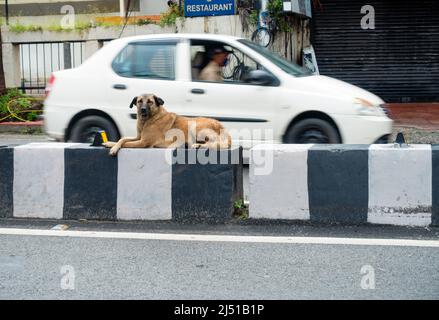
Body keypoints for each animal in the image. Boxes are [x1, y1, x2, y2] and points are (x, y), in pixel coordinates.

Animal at [103, 94, 234, 156]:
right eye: (140, 101)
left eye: (150, 102)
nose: (143, 110)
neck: (149, 120)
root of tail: (222, 126)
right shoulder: (138, 137)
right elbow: (123, 139)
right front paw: (110, 144)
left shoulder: (143, 142)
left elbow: (126, 143)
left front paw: (114, 148)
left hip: (195, 125)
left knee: (216, 144)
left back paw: (197, 145)